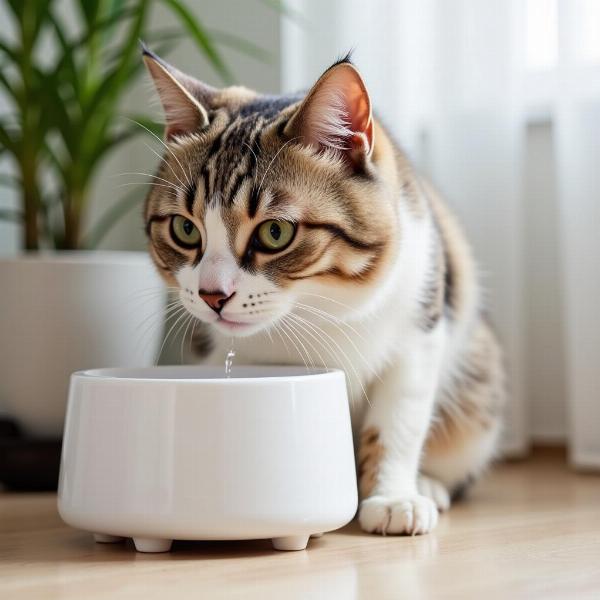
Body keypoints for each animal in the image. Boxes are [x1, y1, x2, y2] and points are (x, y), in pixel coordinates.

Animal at [143, 45, 504, 536]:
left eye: (275, 232)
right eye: (184, 229)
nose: (213, 295)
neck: (318, 309)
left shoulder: (420, 328)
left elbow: (397, 423)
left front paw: (393, 498)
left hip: (478, 387)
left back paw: (427, 485)